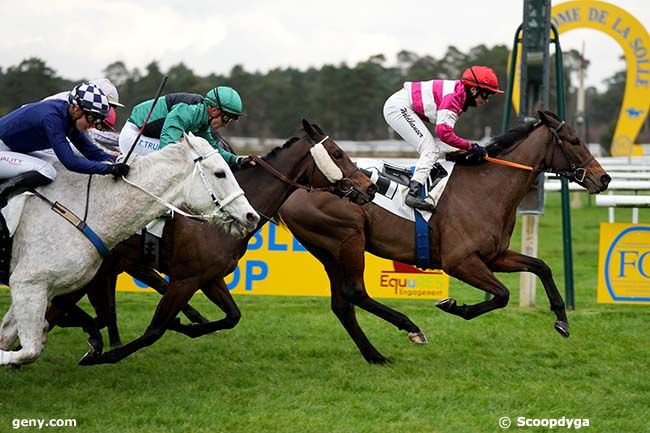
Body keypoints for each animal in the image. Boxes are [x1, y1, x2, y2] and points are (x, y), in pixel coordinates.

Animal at [0, 134, 258, 364]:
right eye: (220, 173)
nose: (251, 215)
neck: (90, 209)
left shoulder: (46, 287)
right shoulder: (29, 282)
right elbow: (29, 349)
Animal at [53, 119, 378, 364]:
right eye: (337, 153)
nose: (370, 187)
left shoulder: (210, 277)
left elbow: (232, 316)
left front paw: (187, 325)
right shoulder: (186, 278)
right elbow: (154, 330)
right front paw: (104, 356)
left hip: (107, 267)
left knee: (77, 308)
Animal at [278, 110, 608, 362]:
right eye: (575, 140)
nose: (603, 178)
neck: (487, 188)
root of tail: (297, 190)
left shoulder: (495, 256)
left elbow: (541, 266)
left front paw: (562, 320)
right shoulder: (459, 261)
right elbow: (502, 294)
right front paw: (453, 306)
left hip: (328, 252)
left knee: (342, 305)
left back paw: (375, 355)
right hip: (349, 241)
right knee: (355, 293)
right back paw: (410, 328)